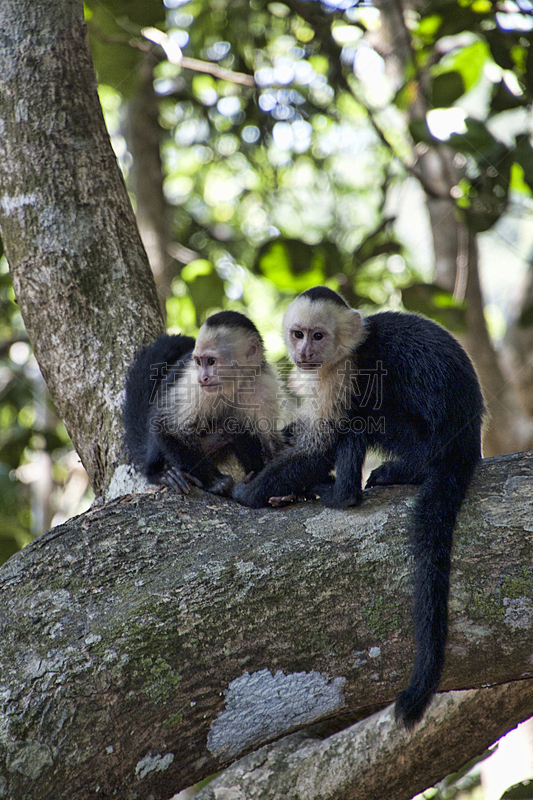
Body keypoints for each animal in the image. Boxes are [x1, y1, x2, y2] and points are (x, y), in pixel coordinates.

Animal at [123, 310, 284, 494]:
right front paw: (215, 482)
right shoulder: (193, 383)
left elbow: (268, 438)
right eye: (199, 361)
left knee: (238, 424)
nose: (203, 378)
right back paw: (161, 473)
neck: (232, 385)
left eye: (212, 361)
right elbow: (167, 426)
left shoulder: (264, 383)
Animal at [232, 284, 482, 728]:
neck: (345, 348)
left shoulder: (342, 373)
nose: (304, 352)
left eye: (318, 336)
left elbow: (320, 445)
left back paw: (348, 491)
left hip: (429, 442)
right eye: (298, 334)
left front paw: (248, 493)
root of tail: (467, 445)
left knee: (365, 413)